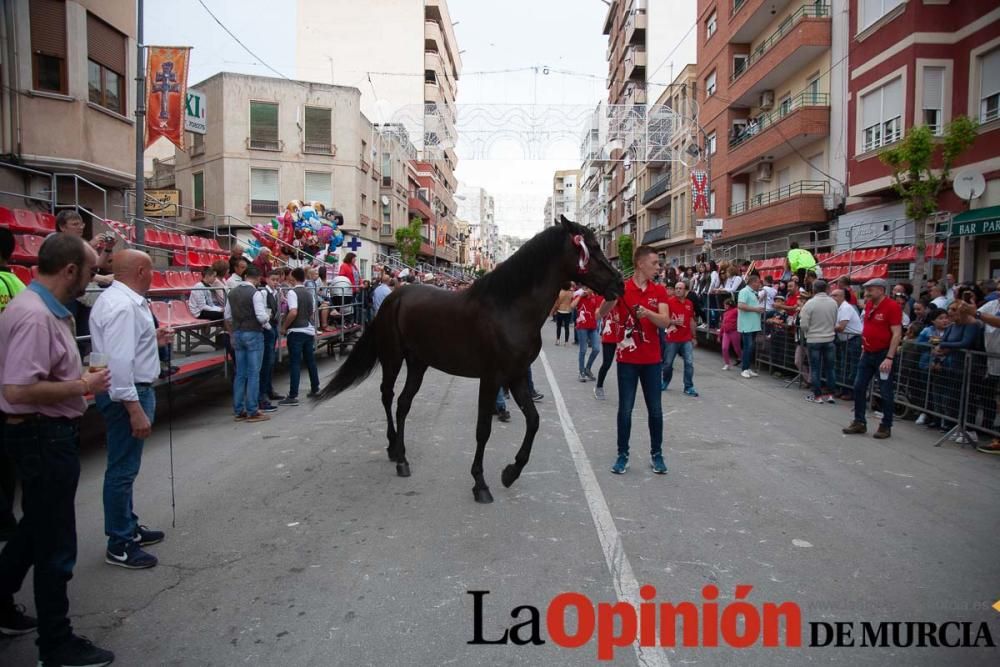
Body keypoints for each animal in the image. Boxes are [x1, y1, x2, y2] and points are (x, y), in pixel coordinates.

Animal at [316, 217, 620, 504]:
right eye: (592, 248)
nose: (618, 282)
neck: (509, 309)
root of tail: (394, 296)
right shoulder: (491, 378)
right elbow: (483, 429)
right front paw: (480, 483)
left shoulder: (516, 375)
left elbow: (533, 421)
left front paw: (511, 472)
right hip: (392, 358)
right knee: (388, 396)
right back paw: (395, 451)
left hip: (418, 364)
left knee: (403, 404)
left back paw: (401, 456)